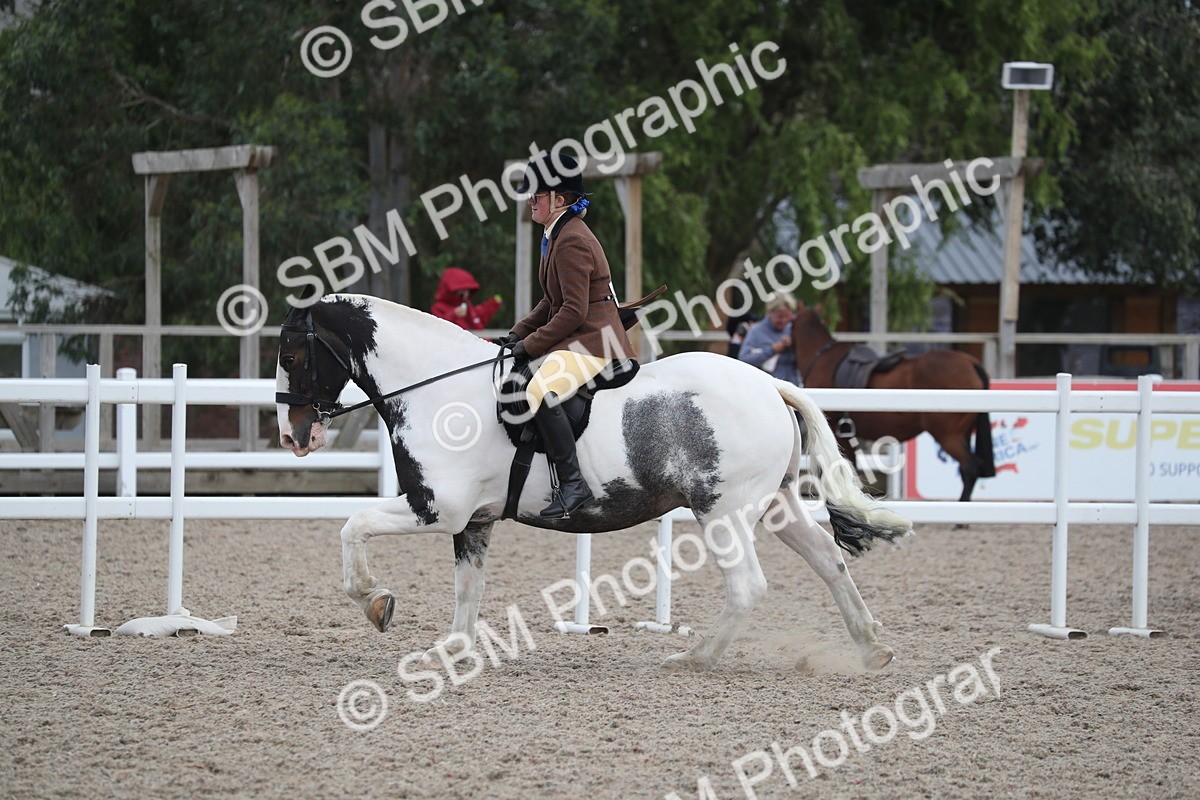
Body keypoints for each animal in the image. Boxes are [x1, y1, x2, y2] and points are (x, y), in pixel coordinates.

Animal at [275, 294, 912, 671]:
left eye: (293, 356)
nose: (293, 436)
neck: (439, 389)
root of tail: (769, 385)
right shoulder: (474, 520)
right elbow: (467, 590)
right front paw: (451, 650)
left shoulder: (438, 508)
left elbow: (353, 526)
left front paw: (375, 602)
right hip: (775, 505)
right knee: (828, 559)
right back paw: (873, 647)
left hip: (723, 511)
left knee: (748, 586)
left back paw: (693, 657)